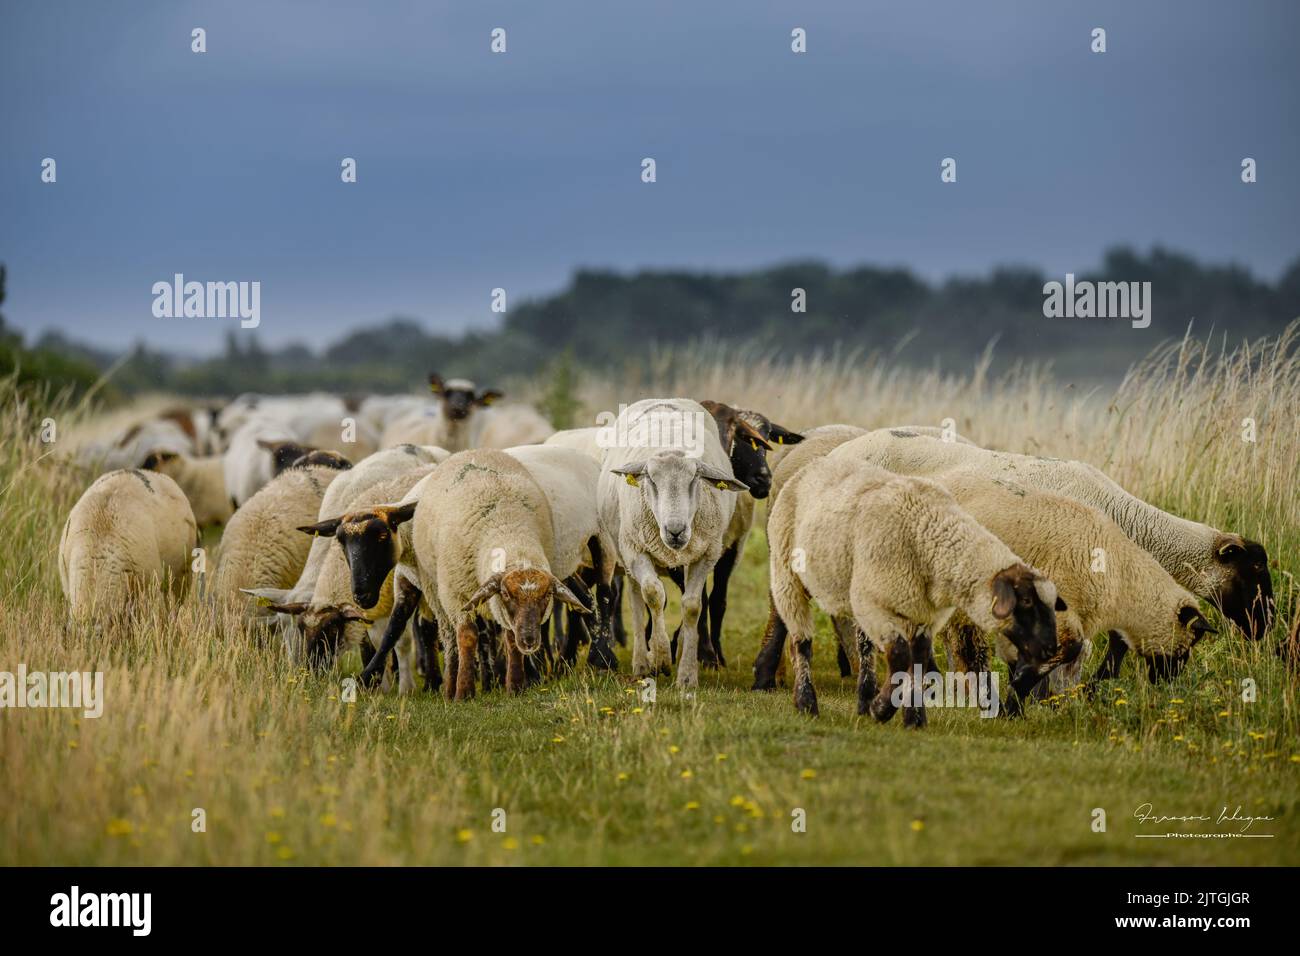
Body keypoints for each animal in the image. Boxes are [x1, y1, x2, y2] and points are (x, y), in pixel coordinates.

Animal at [595, 395, 743, 686]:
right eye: (651, 480)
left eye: (695, 479)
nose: (675, 531)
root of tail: (662, 399)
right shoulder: (636, 550)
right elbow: (653, 595)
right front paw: (660, 656)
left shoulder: (706, 554)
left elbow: (693, 606)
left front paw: (687, 674)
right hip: (626, 550)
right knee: (636, 600)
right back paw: (642, 661)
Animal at [764, 455, 1060, 723]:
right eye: (1025, 602)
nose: (1050, 649)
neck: (928, 532)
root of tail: (814, 463)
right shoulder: (875, 604)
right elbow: (899, 655)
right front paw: (882, 709)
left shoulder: (923, 613)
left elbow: (917, 660)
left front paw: (913, 717)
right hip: (787, 575)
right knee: (801, 641)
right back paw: (807, 703)